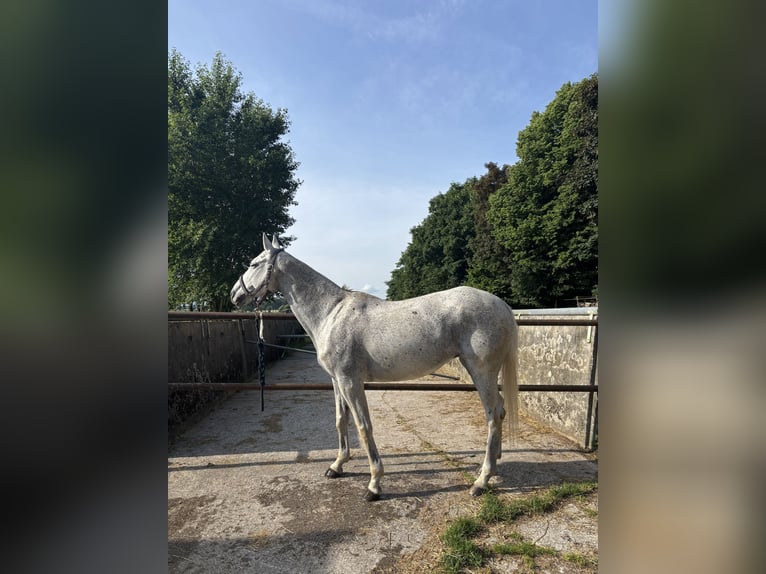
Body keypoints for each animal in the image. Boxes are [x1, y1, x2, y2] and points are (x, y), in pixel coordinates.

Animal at [231, 234, 518, 501]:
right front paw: (337, 466)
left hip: (481, 371)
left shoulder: (350, 382)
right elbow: (341, 420)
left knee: (493, 415)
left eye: (254, 263)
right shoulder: (337, 381)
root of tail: (502, 305)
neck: (330, 313)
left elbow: (363, 426)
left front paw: (374, 484)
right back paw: (494, 461)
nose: (235, 294)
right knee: (501, 410)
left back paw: (481, 480)